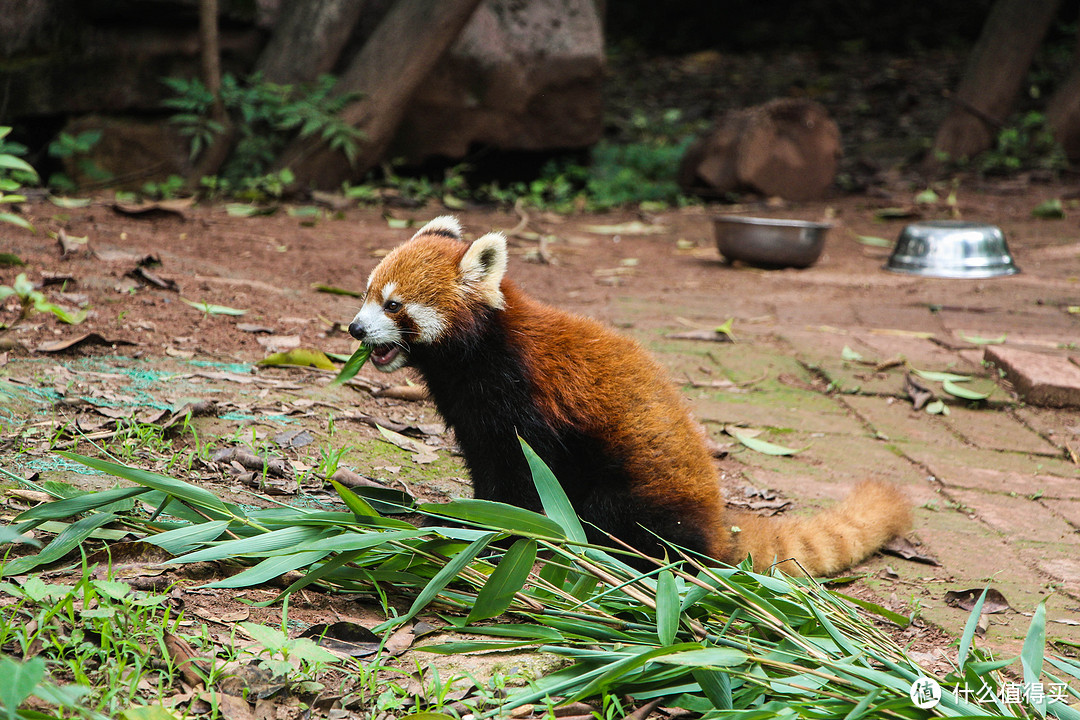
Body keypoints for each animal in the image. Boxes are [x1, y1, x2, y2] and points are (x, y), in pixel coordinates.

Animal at [347, 213, 911, 574]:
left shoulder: (526, 401)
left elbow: (525, 477)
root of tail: (715, 524)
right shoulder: (473, 414)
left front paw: (500, 532)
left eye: (394, 305)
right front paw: (468, 518)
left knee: (619, 521)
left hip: (641, 495)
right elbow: (488, 469)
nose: (354, 328)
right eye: (368, 293)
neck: (477, 354)